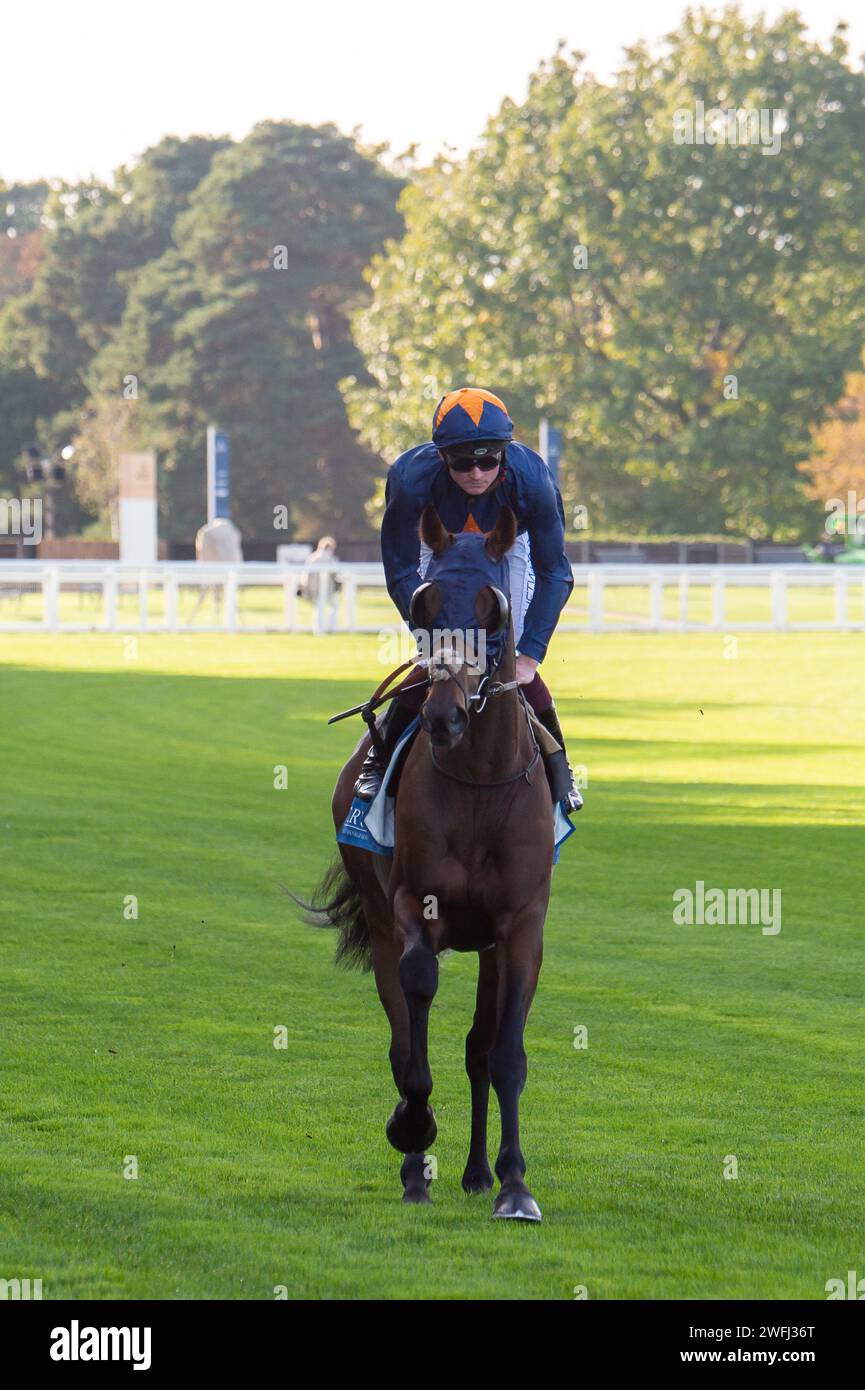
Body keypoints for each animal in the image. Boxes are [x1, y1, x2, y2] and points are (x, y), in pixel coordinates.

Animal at [308, 505, 559, 1223]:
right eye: (423, 605)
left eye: (492, 609)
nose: (443, 715)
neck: (477, 781)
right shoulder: (412, 906)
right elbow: (414, 1020)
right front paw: (413, 1132)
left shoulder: (520, 924)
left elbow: (503, 1053)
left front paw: (513, 1185)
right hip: (378, 913)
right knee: (400, 1033)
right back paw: (415, 1162)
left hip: (486, 944)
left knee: (477, 1049)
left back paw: (476, 1172)